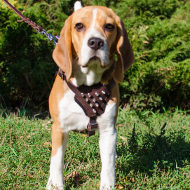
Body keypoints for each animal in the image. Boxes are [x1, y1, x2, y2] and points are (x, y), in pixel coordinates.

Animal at [46, 1, 134, 190]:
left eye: (109, 26)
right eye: (79, 26)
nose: (95, 42)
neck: (87, 85)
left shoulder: (109, 131)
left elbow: (108, 165)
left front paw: (107, 186)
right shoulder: (59, 128)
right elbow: (56, 161)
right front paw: (55, 184)